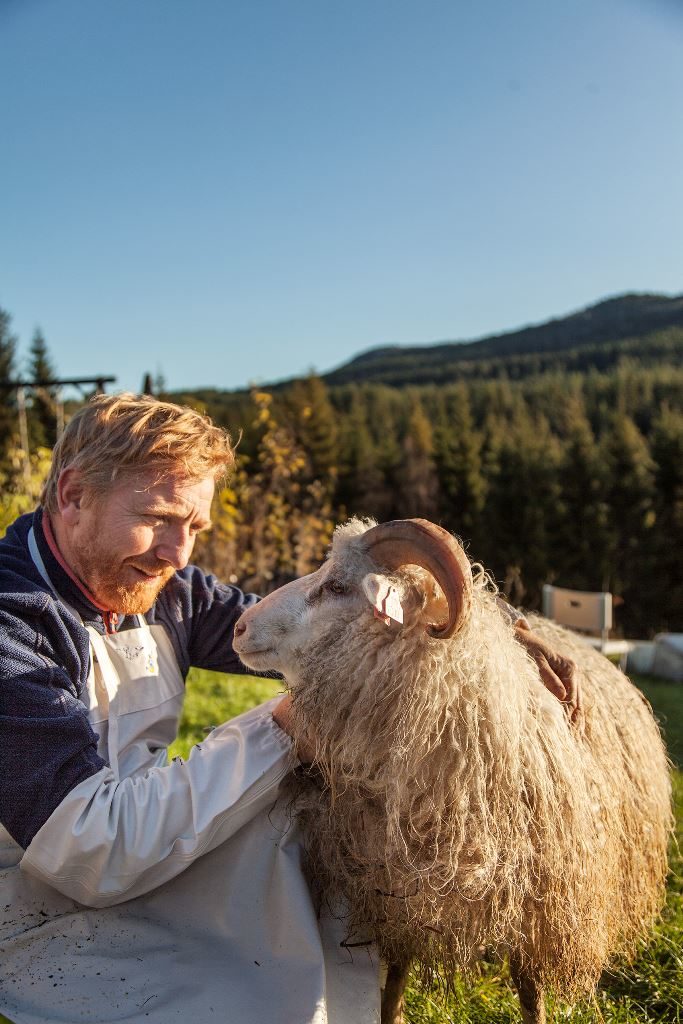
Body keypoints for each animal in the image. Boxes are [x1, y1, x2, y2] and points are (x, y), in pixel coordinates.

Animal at [231, 520, 671, 1024]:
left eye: (338, 586)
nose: (239, 627)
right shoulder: (394, 884)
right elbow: (396, 974)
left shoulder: (541, 901)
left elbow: (529, 989)